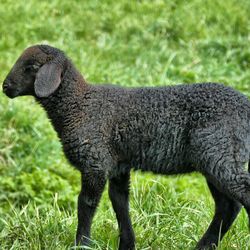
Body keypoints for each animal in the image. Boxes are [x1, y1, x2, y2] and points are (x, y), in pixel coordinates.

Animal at [1, 44, 250, 249]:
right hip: (216, 158)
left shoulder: (95, 161)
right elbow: (120, 204)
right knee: (227, 207)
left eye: (32, 66)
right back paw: (204, 246)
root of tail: (245, 106)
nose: (5, 87)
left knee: (239, 197)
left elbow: (86, 204)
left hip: (220, 153)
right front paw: (127, 244)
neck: (78, 106)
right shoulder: (118, 165)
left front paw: (82, 244)